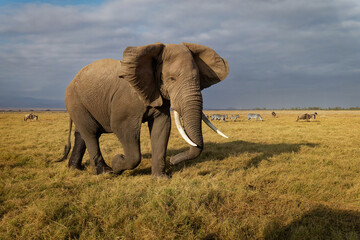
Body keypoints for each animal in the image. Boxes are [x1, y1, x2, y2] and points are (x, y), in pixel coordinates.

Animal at [57, 42, 229, 177]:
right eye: (172, 79)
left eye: (199, 79)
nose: (173, 162)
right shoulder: (127, 99)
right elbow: (123, 129)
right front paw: (117, 162)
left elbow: (162, 127)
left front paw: (161, 178)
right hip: (75, 101)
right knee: (91, 133)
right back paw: (105, 172)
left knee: (82, 134)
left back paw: (75, 168)